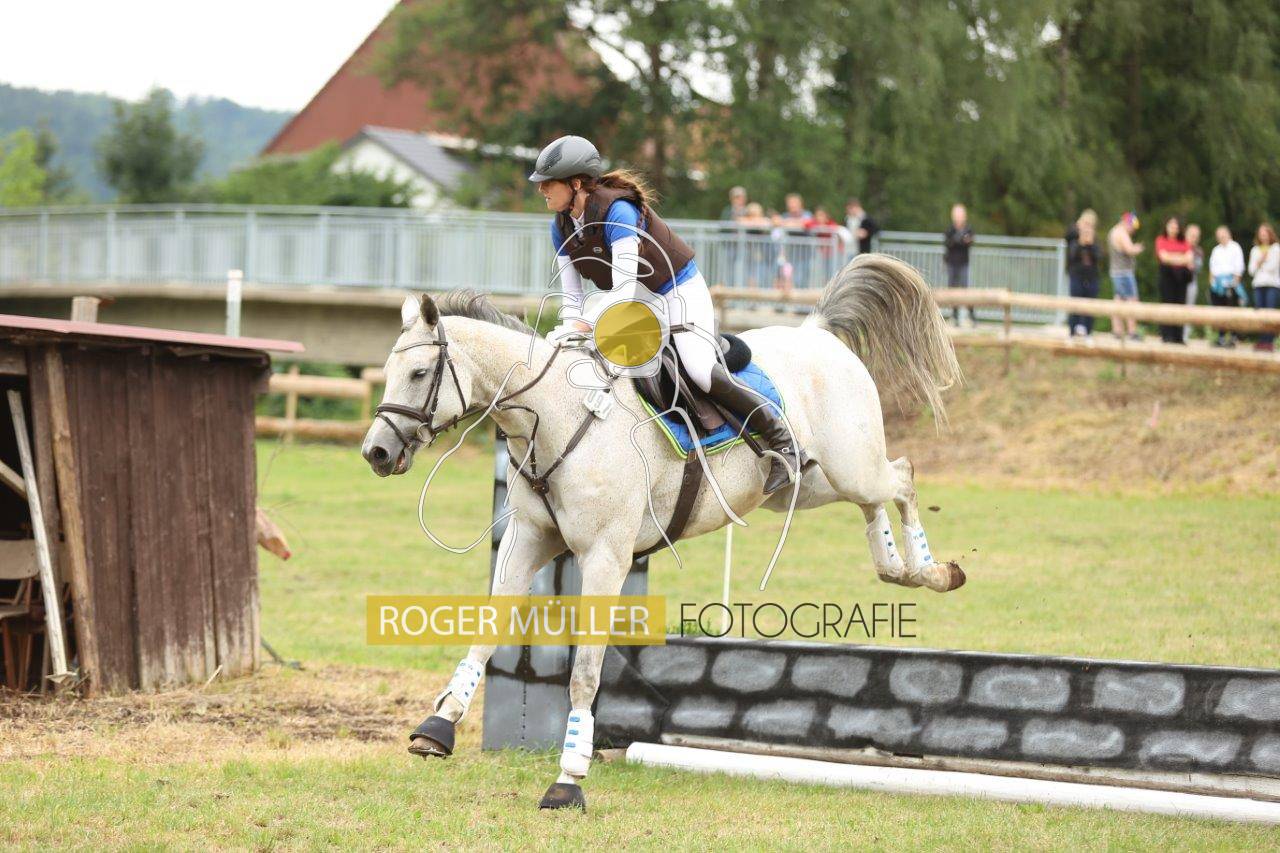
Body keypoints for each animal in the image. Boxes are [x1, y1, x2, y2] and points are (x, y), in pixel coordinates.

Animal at [361, 253, 964, 811]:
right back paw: (898, 567)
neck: (554, 413)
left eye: (419, 375)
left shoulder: (605, 557)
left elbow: (585, 674)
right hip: (811, 485)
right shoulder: (528, 538)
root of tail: (816, 333)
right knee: (875, 499)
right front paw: (438, 726)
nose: (376, 452)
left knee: (902, 477)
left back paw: (934, 572)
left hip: (850, 464)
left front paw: (568, 779)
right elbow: (486, 630)